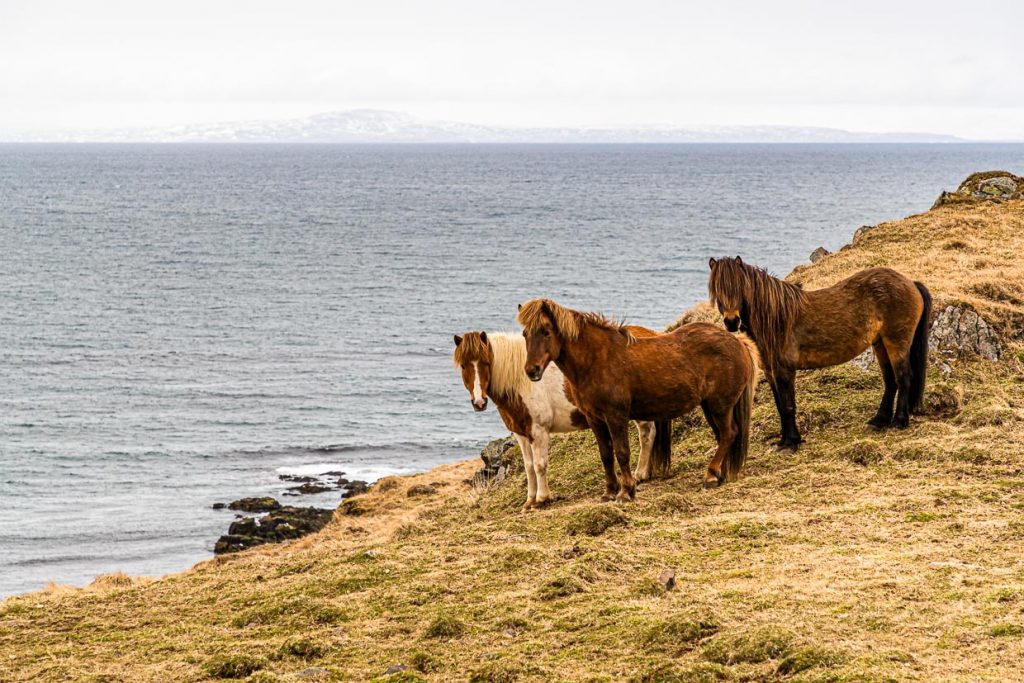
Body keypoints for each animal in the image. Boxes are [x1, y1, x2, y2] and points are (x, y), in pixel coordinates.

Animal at [452, 327, 667, 509]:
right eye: (463, 366)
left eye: (486, 363)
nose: (479, 402)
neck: (522, 382)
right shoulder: (521, 433)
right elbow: (529, 467)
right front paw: (529, 501)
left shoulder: (539, 431)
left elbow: (540, 465)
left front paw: (541, 499)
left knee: (647, 434)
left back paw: (639, 475)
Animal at [520, 296, 761, 499]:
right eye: (525, 334)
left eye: (546, 332)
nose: (532, 370)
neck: (597, 360)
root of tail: (738, 343)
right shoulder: (595, 418)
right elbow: (606, 454)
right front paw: (609, 491)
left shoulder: (616, 416)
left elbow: (622, 452)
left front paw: (627, 491)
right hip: (710, 406)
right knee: (723, 436)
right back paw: (719, 474)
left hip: (720, 406)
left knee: (728, 434)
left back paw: (710, 475)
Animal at [708, 254, 933, 448]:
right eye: (717, 290)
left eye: (739, 287)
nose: (732, 322)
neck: (777, 319)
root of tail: (910, 282)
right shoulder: (771, 372)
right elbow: (780, 406)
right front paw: (783, 440)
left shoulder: (784, 371)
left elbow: (788, 406)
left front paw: (791, 442)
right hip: (880, 344)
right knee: (891, 381)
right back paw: (879, 420)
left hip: (897, 342)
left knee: (904, 377)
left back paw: (899, 422)